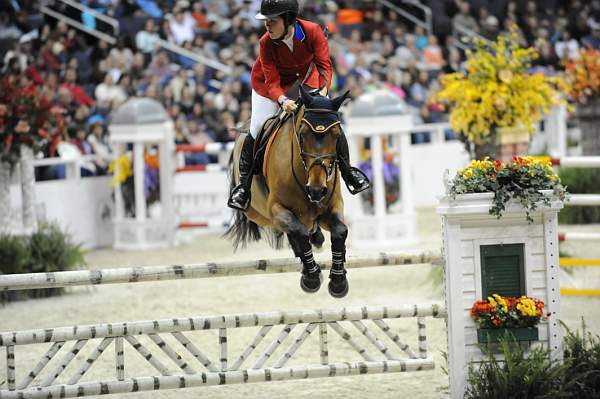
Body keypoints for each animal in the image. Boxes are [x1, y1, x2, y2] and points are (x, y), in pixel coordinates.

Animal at [226, 88, 352, 300]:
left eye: (336, 136)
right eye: (302, 134)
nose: (316, 190)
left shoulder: (334, 205)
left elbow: (340, 231)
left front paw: (338, 281)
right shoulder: (276, 209)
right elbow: (298, 232)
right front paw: (311, 278)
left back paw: (316, 240)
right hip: (258, 214)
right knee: (294, 230)